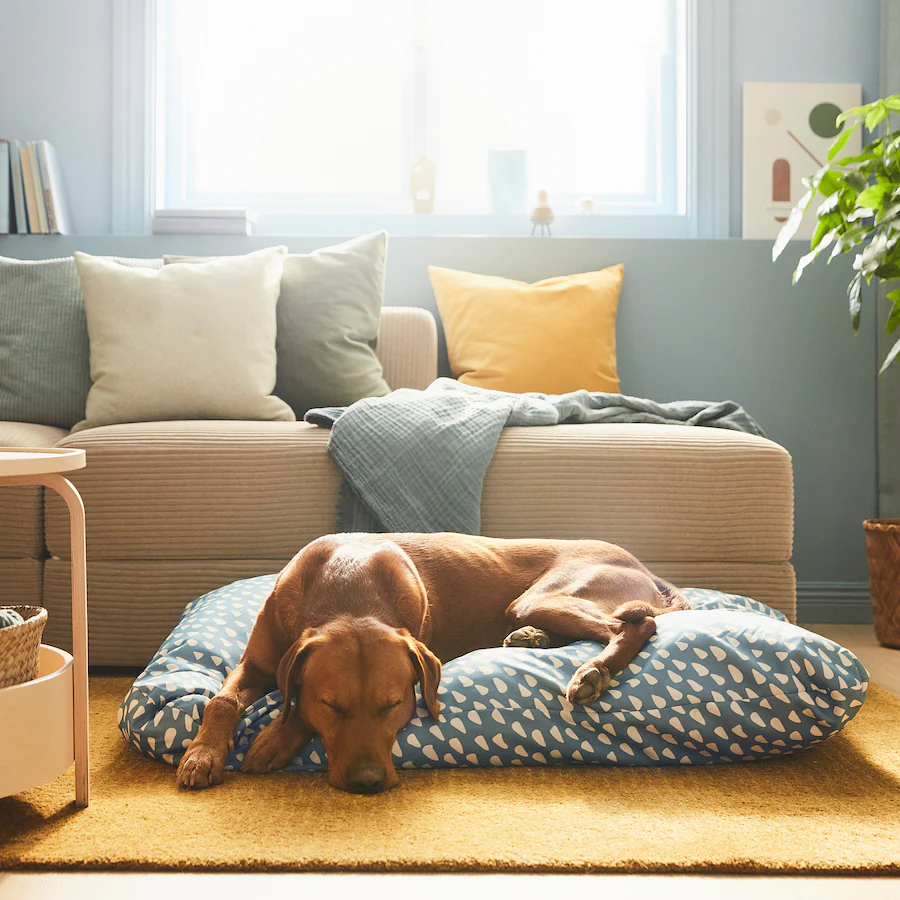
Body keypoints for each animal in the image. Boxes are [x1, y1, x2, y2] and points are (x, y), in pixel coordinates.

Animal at [176, 536, 684, 796]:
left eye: (394, 705)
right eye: (333, 706)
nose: (367, 783)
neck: (346, 586)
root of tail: (650, 571)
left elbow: (293, 705)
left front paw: (275, 739)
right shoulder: (257, 664)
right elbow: (221, 701)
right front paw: (202, 754)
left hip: (544, 597)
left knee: (636, 625)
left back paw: (594, 672)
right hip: (531, 605)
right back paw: (532, 638)